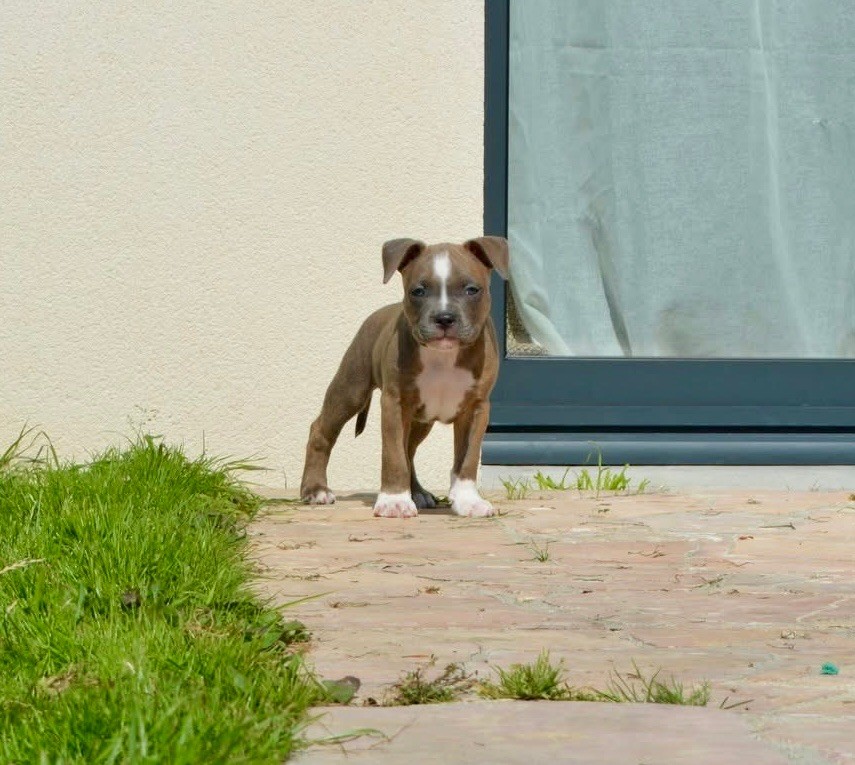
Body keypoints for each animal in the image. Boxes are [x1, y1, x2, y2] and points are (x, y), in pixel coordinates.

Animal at [300, 236, 508, 518]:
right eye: (418, 291)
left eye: (472, 290)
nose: (444, 317)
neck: (443, 357)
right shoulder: (394, 403)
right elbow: (393, 455)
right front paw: (394, 501)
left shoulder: (475, 408)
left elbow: (468, 458)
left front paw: (468, 500)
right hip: (350, 388)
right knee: (321, 430)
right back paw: (315, 489)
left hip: (421, 420)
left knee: (409, 449)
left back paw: (418, 493)